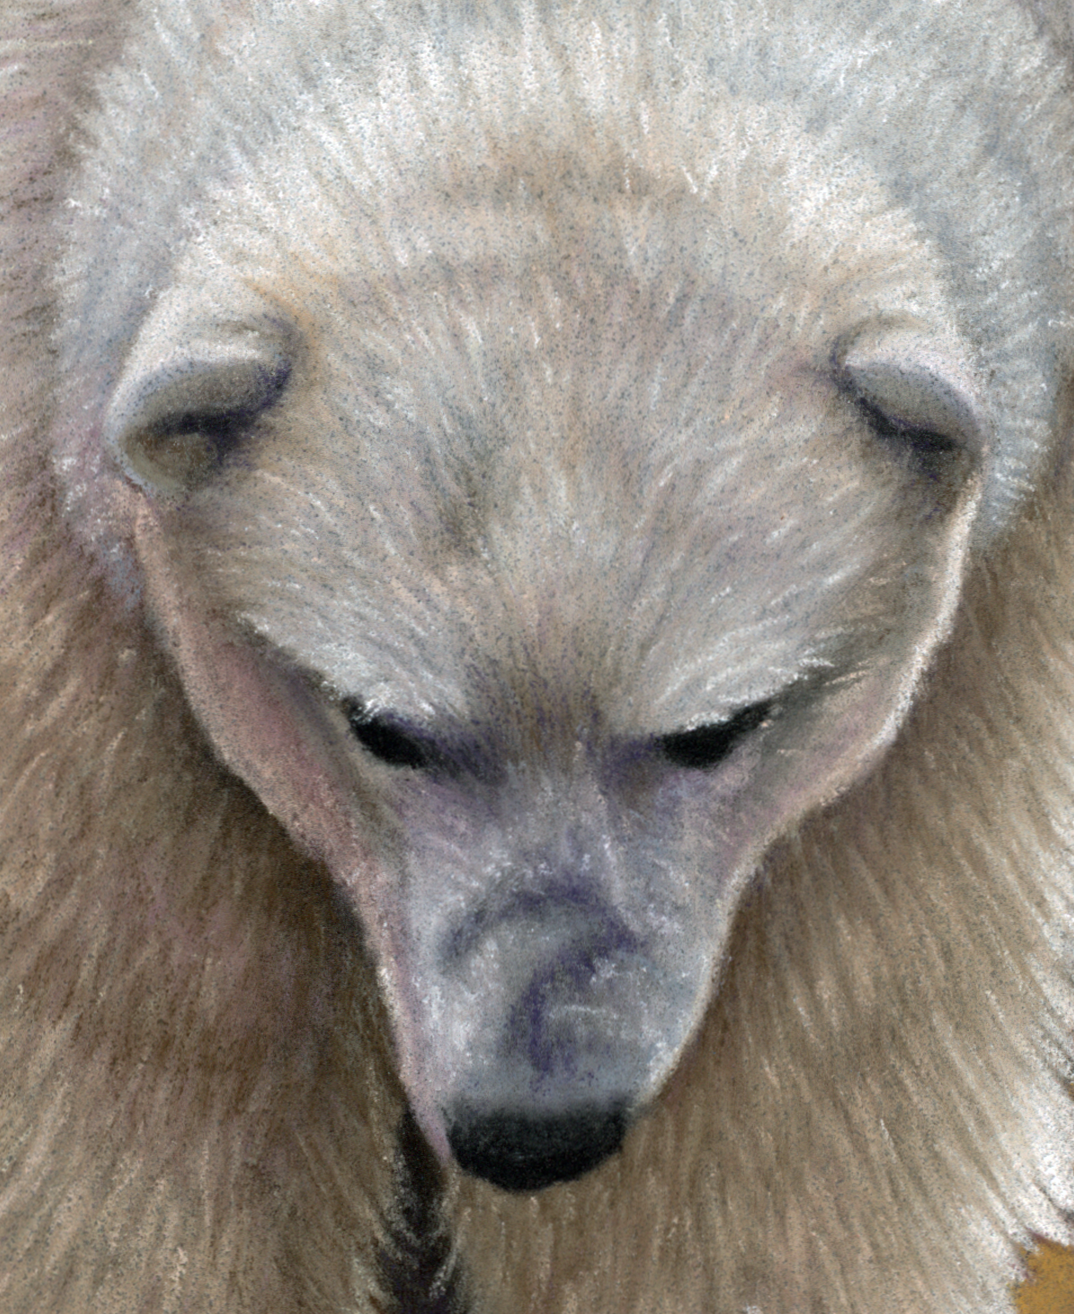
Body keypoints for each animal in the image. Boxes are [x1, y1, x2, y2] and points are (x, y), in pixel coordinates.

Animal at [3, 0, 1074, 1310]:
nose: (534, 1128)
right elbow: (133, 1082)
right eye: (381, 726)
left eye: (716, 728)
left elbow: (811, 1092)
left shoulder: (985, 660)